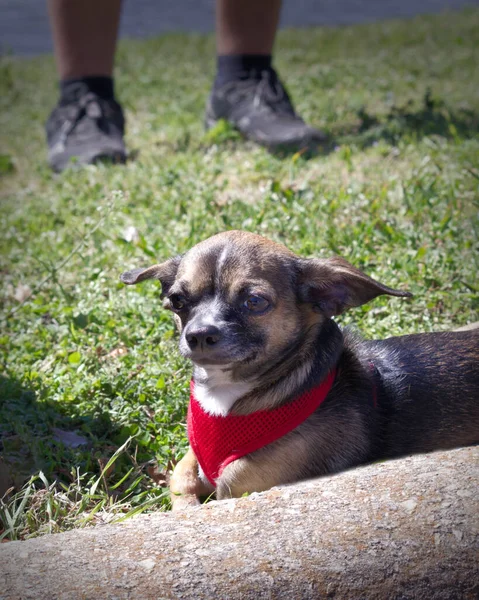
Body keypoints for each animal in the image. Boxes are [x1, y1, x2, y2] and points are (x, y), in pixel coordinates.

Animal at [120, 230, 479, 506]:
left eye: (255, 302)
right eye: (177, 301)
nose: (197, 334)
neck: (228, 396)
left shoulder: (250, 476)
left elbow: (229, 479)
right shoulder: (193, 459)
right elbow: (182, 477)